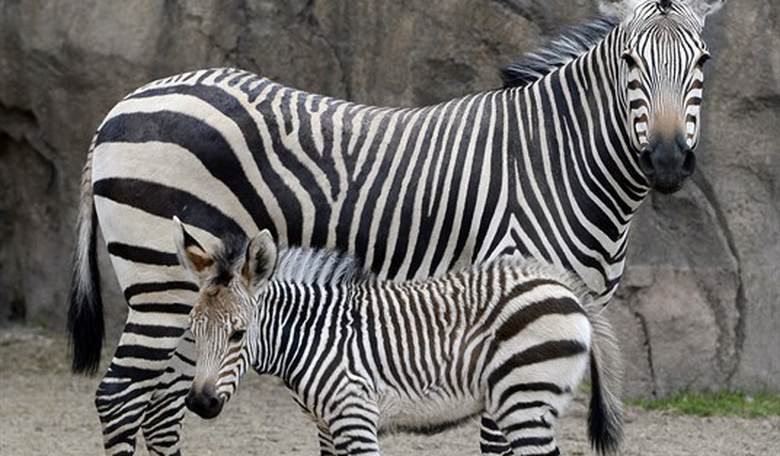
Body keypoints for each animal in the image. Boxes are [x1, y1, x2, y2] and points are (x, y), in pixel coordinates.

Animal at [173, 220, 622, 456]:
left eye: (238, 334)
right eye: (193, 331)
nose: (199, 403)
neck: (312, 335)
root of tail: (560, 283)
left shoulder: (355, 415)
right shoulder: (327, 426)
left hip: (524, 400)